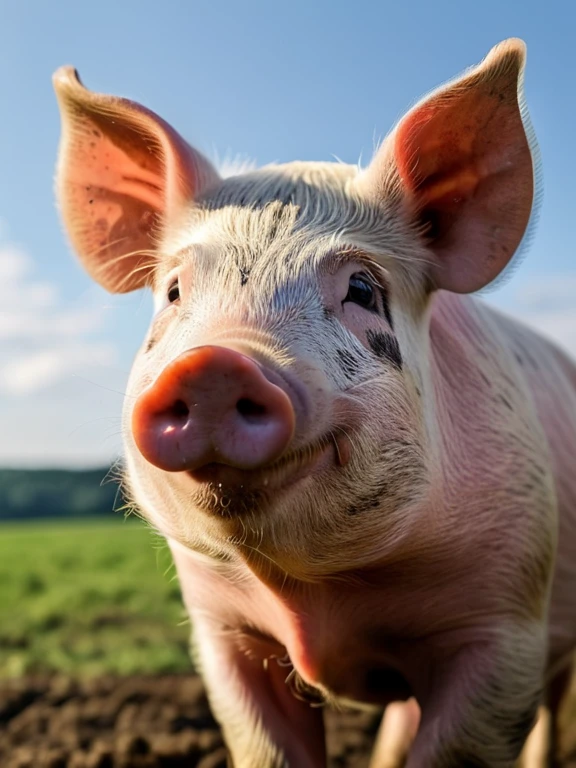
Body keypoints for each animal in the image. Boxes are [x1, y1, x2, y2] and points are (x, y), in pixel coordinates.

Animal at [53, 39, 576, 764]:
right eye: (175, 291)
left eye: (361, 288)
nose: (215, 363)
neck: (315, 597)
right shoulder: (221, 634)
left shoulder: (504, 626)